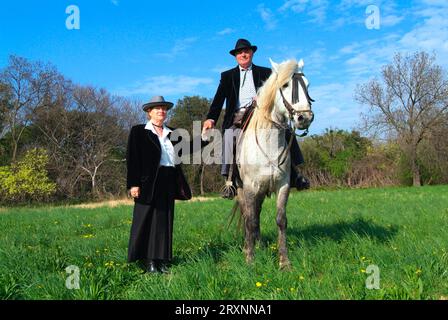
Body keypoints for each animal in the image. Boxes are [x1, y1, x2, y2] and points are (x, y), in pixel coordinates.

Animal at [236, 58, 314, 270]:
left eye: (308, 85)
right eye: (285, 85)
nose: (305, 117)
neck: (267, 143)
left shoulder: (283, 186)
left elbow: (280, 220)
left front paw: (284, 261)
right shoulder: (250, 188)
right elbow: (250, 221)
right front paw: (250, 260)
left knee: (256, 213)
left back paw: (259, 244)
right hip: (242, 190)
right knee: (247, 215)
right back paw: (248, 247)